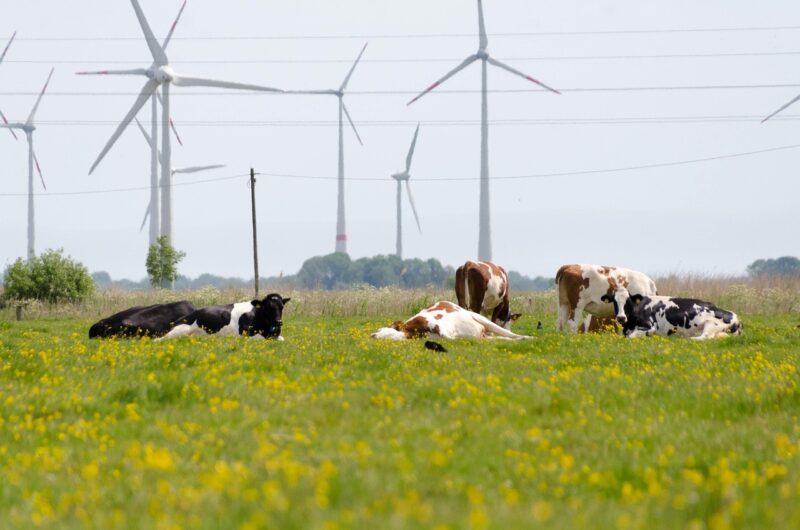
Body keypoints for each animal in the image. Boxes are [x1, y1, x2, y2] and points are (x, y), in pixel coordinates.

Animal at [159, 293, 290, 340]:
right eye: (268, 307)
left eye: (282, 306)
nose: (279, 322)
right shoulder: (245, 334)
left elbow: (282, 339)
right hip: (180, 330)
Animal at [607, 289, 742, 340]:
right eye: (614, 301)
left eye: (628, 301)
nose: (621, 317)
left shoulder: (650, 327)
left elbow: (631, 337)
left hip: (710, 324)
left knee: (705, 337)